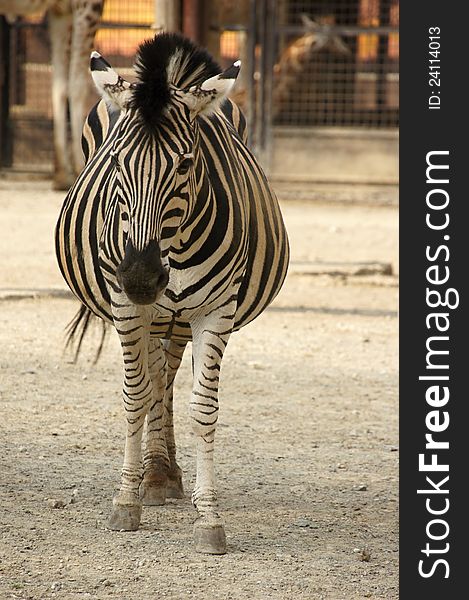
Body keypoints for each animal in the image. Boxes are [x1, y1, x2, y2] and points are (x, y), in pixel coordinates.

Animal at [0, 0, 103, 188]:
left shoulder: (60, 12)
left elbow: (59, 86)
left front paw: (61, 175)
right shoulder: (87, 6)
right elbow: (77, 85)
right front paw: (81, 168)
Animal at [55, 31, 288, 552]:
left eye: (184, 164)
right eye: (116, 162)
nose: (142, 277)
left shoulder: (215, 310)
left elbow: (203, 407)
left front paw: (209, 518)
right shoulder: (126, 306)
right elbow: (134, 395)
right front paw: (126, 501)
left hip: (178, 316)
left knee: (167, 371)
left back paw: (165, 472)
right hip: (147, 312)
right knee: (154, 375)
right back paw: (154, 473)